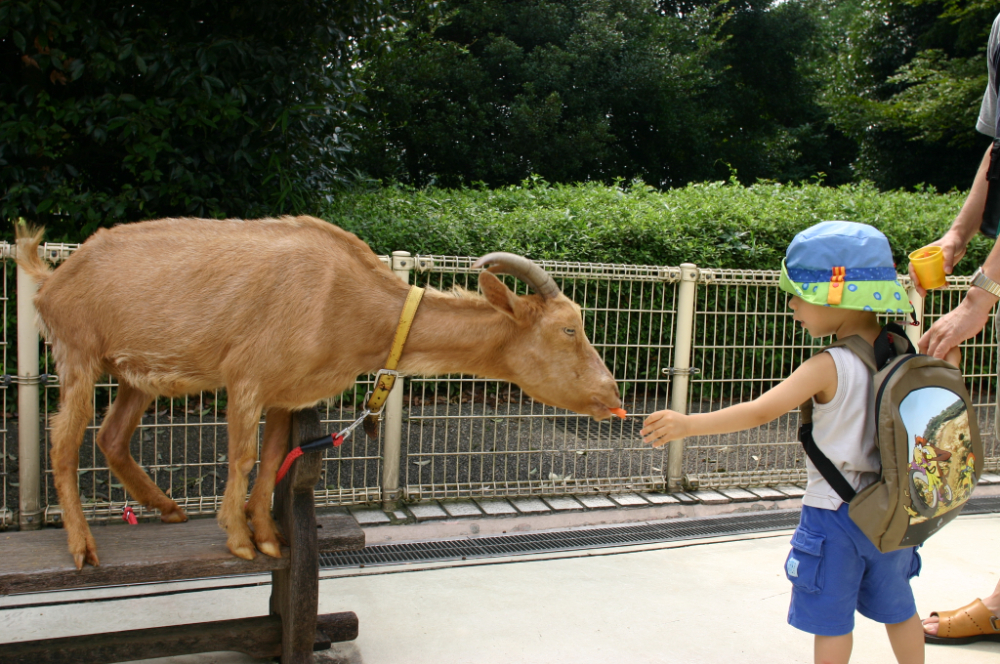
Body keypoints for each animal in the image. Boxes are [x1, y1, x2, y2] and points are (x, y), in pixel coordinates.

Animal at [15, 215, 620, 568]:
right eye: (569, 328)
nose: (613, 395)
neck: (346, 298)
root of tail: (49, 280)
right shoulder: (247, 378)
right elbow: (241, 456)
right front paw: (237, 539)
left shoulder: (288, 393)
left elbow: (273, 458)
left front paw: (266, 535)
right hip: (78, 355)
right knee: (62, 445)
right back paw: (82, 546)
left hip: (134, 374)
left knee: (112, 438)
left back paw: (167, 508)